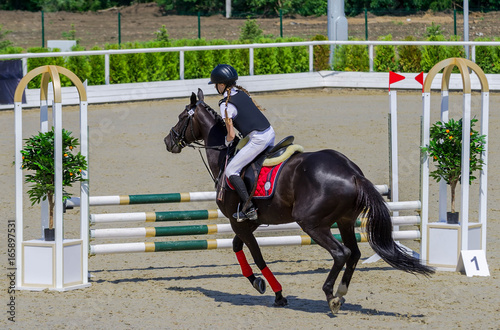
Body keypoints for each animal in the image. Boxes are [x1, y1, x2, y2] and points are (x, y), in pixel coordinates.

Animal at [165, 88, 434, 314]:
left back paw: (330, 295)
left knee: (341, 253)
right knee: (354, 253)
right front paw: (260, 283)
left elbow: (255, 255)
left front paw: (274, 291)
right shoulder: (248, 222)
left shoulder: (237, 221)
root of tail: (353, 174)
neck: (225, 157)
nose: (168, 142)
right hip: (345, 221)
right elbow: (237, 247)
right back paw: (341, 292)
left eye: (181, 116)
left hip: (311, 223)